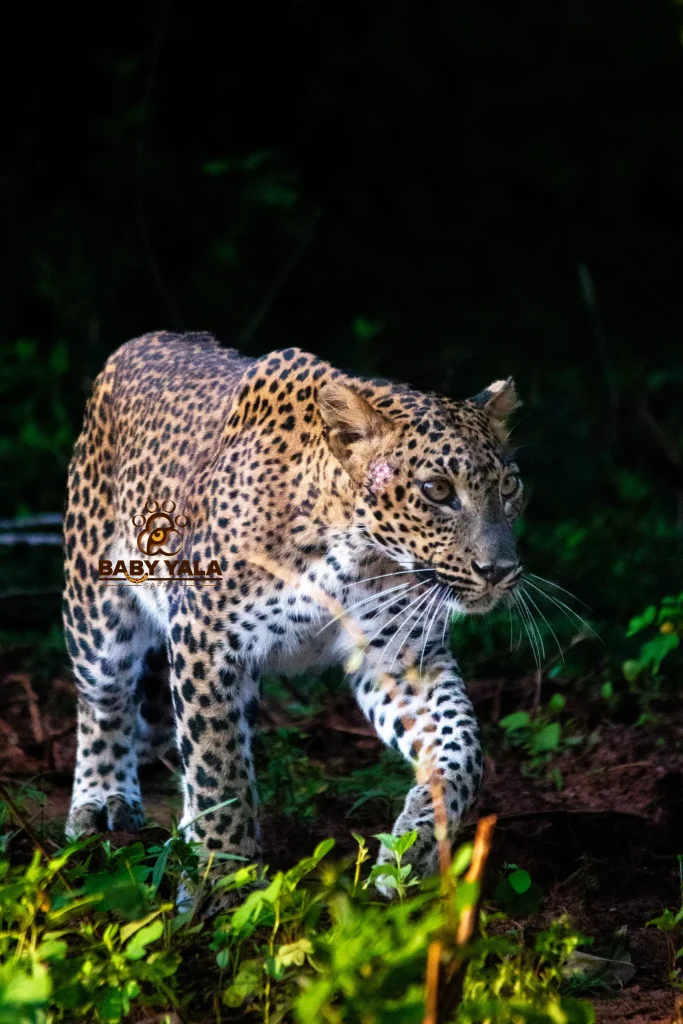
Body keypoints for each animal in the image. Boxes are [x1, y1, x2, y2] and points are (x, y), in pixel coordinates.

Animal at [62, 330, 523, 901]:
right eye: (437, 491)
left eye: (509, 487)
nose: (501, 570)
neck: (352, 551)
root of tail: (142, 341)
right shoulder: (205, 640)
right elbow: (218, 767)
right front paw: (225, 879)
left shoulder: (399, 655)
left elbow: (462, 749)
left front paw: (414, 845)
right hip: (96, 611)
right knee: (104, 702)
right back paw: (102, 801)